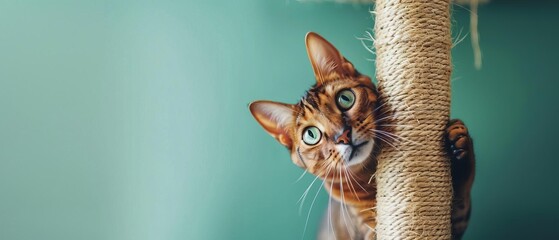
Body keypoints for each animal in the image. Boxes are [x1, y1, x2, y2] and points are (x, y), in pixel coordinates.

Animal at [252, 32, 474, 240]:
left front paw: (459, 139)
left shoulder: (458, 221)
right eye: (311, 135)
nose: (343, 136)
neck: (368, 175)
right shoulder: (367, 228)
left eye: (345, 98)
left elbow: (462, 194)